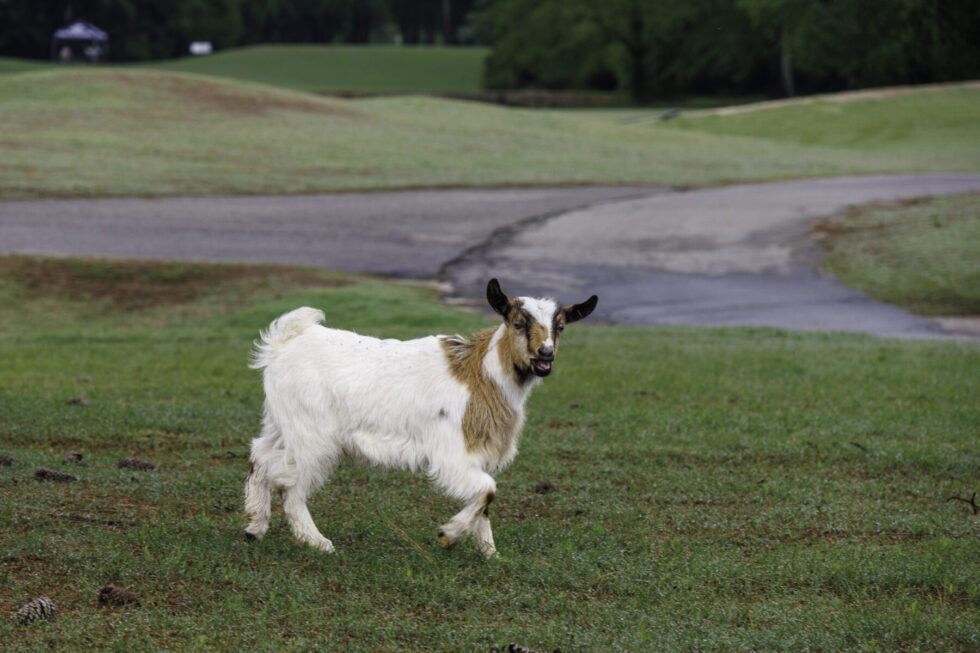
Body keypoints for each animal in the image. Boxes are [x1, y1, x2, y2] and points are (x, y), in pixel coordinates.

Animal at [243, 278, 597, 558]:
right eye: (518, 323)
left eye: (560, 326)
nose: (545, 355)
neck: (483, 375)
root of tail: (283, 344)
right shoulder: (452, 452)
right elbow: (487, 489)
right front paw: (450, 535)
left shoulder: (478, 451)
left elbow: (484, 500)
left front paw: (490, 553)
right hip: (312, 434)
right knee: (289, 483)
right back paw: (317, 542)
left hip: (281, 422)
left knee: (260, 455)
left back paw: (254, 526)